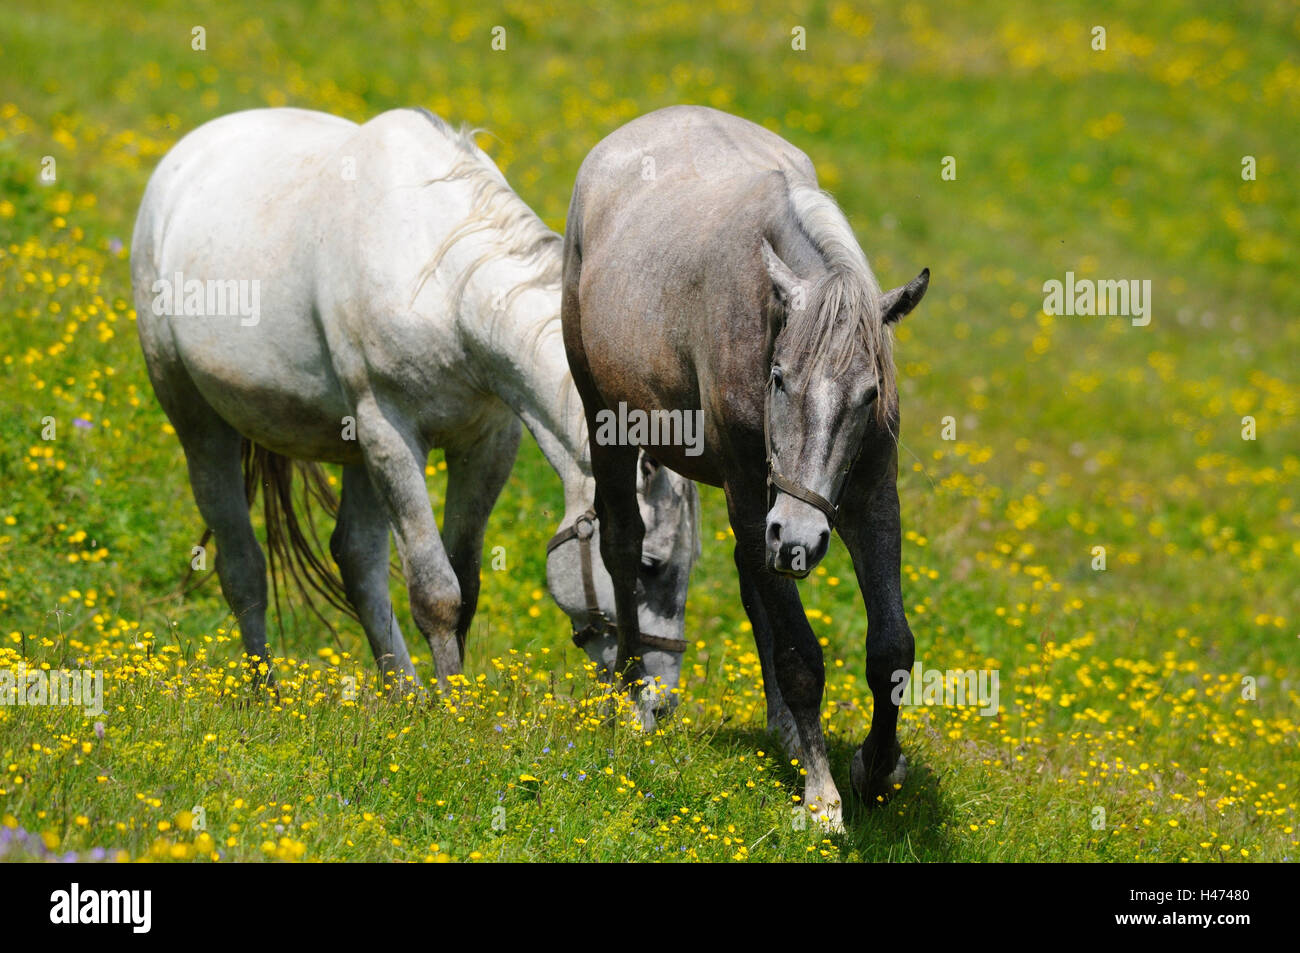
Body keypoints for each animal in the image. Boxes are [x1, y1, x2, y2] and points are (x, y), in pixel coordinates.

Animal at [133, 107, 702, 717]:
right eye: (649, 564)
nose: (659, 704)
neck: (446, 286)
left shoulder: (485, 444)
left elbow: (465, 585)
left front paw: (454, 704)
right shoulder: (392, 433)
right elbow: (436, 592)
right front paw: (450, 715)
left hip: (356, 449)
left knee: (356, 559)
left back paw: (401, 692)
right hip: (201, 425)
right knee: (243, 566)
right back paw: (266, 693)